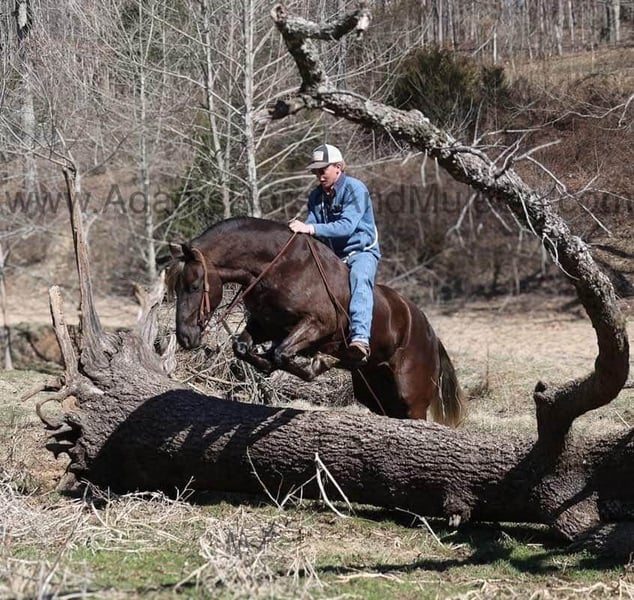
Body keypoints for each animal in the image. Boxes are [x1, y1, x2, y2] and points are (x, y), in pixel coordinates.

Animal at [167, 217, 465, 425]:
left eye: (194, 286)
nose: (185, 336)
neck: (278, 266)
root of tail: (431, 334)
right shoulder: (266, 325)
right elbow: (243, 347)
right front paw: (266, 364)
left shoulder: (317, 325)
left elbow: (282, 353)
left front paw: (318, 362)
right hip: (377, 393)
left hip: (413, 400)